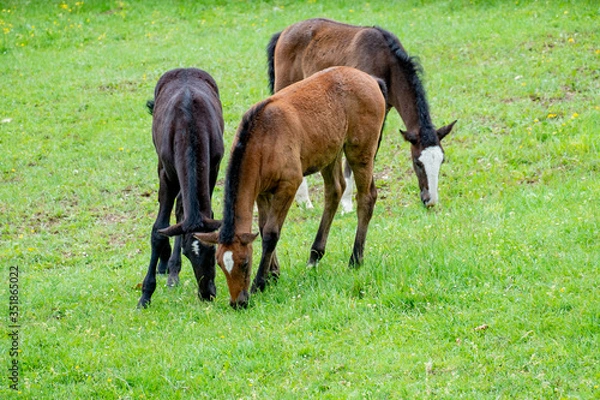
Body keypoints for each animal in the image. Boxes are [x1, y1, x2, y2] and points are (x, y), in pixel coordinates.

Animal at [137, 67, 226, 308]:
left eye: (213, 249)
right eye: (188, 253)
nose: (207, 293)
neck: (190, 128)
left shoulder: (213, 167)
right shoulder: (166, 174)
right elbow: (158, 230)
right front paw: (145, 295)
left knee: (179, 209)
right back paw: (165, 266)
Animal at [195, 66, 386, 310]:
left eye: (245, 263)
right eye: (219, 264)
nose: (238, 303)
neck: (262, 139)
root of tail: (370, 79)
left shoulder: (289, 184)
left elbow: (270, 233)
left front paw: (260, 282)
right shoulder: (261, 191)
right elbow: (261, 226)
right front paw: (273, 274)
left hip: (360, 150)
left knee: (366, 197)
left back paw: (355, 258)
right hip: (329, 152)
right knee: (335, 190)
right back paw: (314, 256)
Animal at [266, 18, 454, 212]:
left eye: (441, 160)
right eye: (418, 162)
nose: (430, 200)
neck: (385, 62)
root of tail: (283, 32)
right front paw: (347, 205)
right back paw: (304, 201)